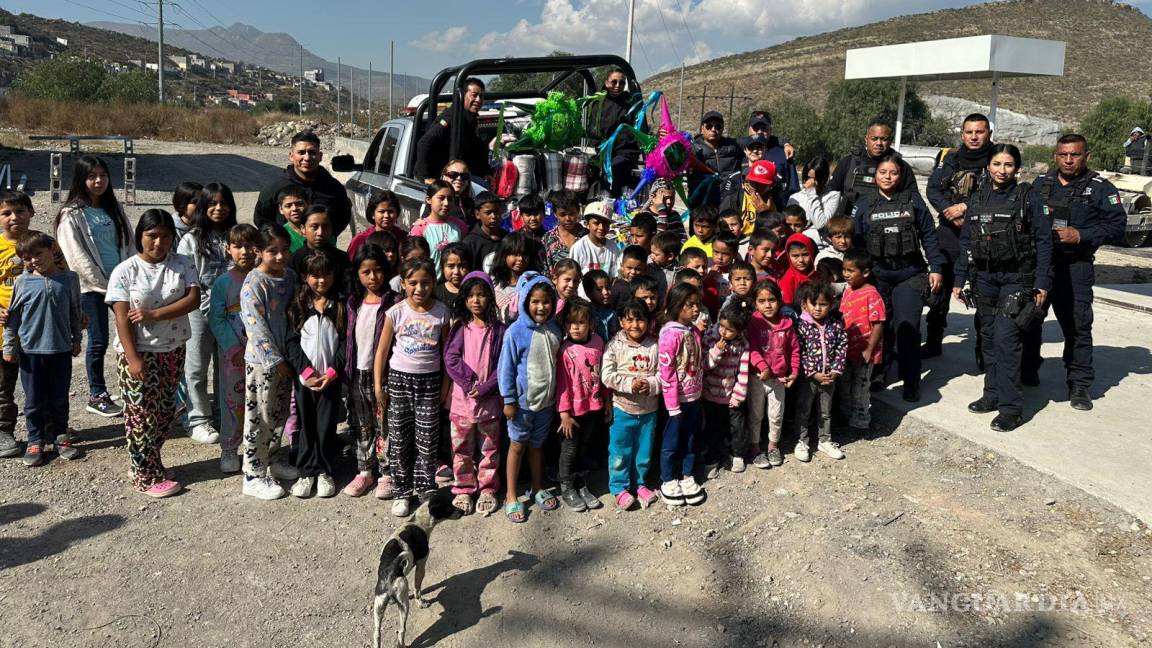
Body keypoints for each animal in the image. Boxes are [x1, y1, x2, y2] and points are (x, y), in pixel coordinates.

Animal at [370, 488, 456, 645]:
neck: (418, 522)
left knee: (377, 633)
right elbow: (417, 589)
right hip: (404, 606)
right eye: (449, 507)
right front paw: (420, 601)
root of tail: (389, 574)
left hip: (378, 607)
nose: (463, 511)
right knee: (401, 630)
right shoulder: (421, 566)